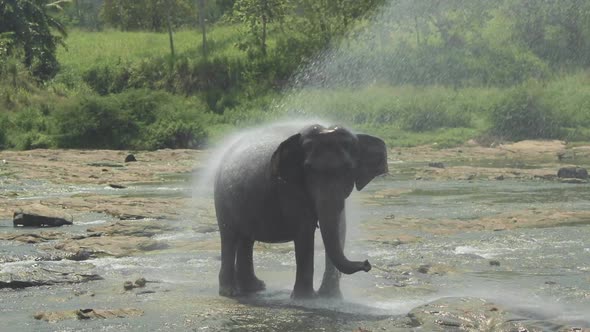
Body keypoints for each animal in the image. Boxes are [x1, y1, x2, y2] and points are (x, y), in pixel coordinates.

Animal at [213, 123, 388, 300]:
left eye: (348, 169)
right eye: (308, 169)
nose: (367, 264)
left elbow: (339, 228)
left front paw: (330, 298)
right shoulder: (289, 187)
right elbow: (304, 230)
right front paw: (306, 299)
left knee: (246, 239)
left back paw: (255, 288)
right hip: (222, 199)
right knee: (229, 237)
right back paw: (231, 292)